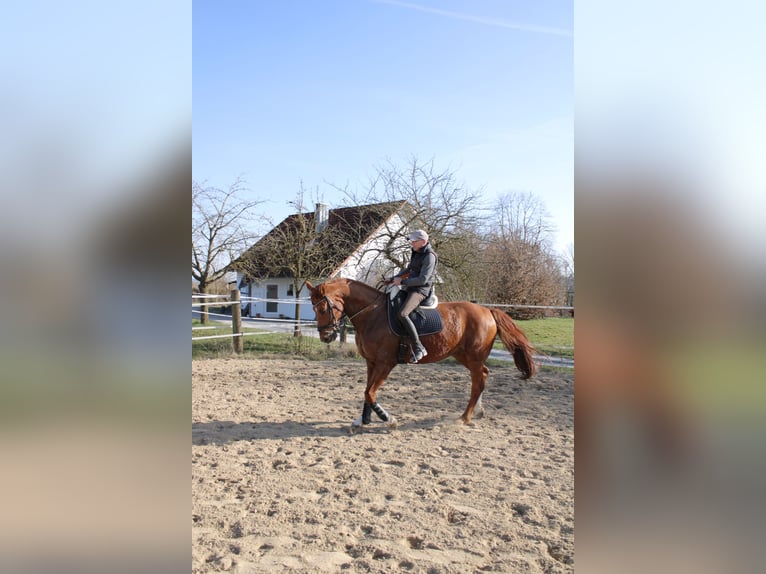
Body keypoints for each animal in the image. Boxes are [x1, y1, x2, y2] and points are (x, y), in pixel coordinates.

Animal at [305, 278, 537, 430]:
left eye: (323, 309)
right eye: (313, 309)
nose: (326, 336)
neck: (372, 314)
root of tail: (487, 310)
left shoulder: (385, 363)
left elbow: (370, 393)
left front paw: (388, 419)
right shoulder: (371, 362)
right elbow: (366, 393)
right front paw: (363, 420)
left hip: (473, 357)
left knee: (478, 382)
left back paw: (465, 417)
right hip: (464, 356)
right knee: (483, 376)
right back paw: (477, 411)